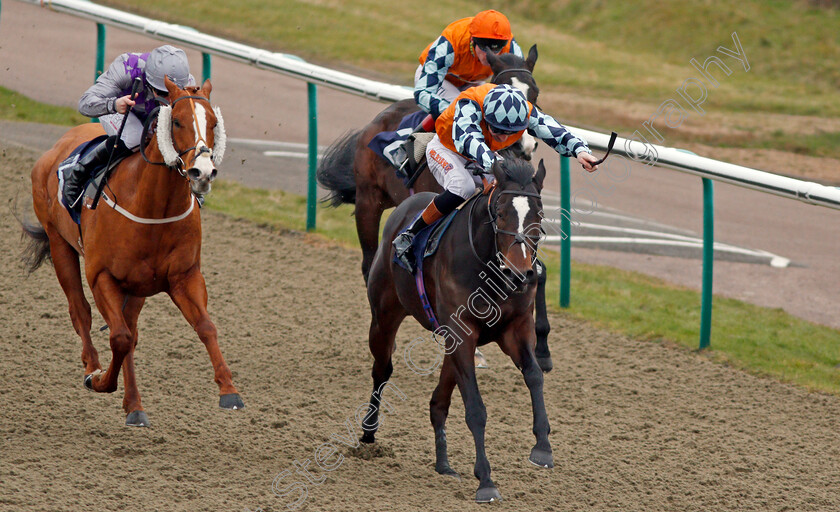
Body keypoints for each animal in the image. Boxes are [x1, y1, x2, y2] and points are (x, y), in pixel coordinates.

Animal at [19, 77, 243, 428]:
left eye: (214, 123)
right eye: (177, 121)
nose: (203, 172)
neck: (152, 205)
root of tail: (60, 143)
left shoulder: (184, 277)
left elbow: (205, 327)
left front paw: (229, 390)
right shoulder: (102, 277)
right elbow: (119, 337)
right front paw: (100, 381)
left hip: (137, 287)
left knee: (130, 333)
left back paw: (134, 407)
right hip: (59, 244)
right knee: (81, 312)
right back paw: (94, 369)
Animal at [318, 45, 556, 372]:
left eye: (535, 92)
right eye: (503, 88)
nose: (525, 145)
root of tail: (375, 122)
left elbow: (539, 270)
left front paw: (542, 348)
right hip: (369, 202)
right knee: (369, 262)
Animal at [360, 157, 552, 504]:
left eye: (539, 215)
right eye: (500, 213)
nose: (519, 273)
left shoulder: (514, 328)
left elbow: (534, 375)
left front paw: (542, 446)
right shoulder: (463, 334)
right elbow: (475, 408)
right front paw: (486, 480)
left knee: (438, 402)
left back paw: (443, 463)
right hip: (384, 317)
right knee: (382, 370)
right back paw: (368, 432)